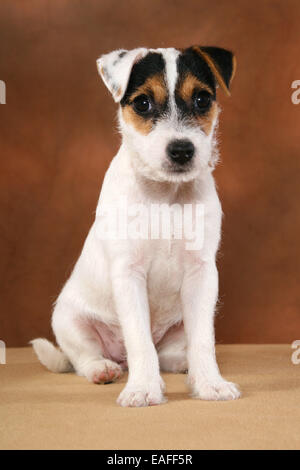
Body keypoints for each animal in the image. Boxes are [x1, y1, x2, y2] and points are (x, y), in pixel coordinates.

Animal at [31, 46, 240, 406]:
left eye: (202, 100)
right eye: (143, 103)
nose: (182, 150)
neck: (166, 197)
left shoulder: (201, 275)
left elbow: (203, 340)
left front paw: (210, 384)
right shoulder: (129, 274)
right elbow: (139, 340)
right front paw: (143, 388)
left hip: (181, 321)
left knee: (168, 353)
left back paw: (184, 365)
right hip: (68, 320)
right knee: (84, 358)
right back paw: (104, 369)